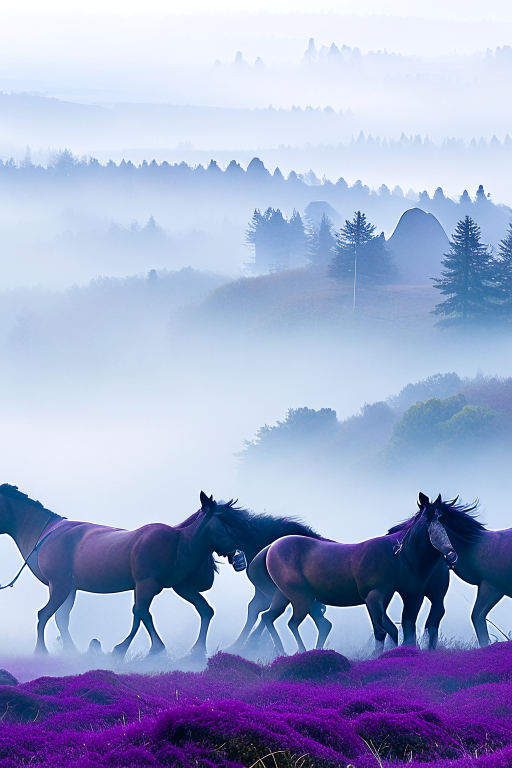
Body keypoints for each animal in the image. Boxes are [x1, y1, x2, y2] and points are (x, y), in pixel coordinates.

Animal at [0, 486, 250, 656]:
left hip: (64, 587)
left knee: (53, 616)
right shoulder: (148, 584)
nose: (239, 557)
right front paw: (141, 649)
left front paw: (195, 650)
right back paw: (44, 651)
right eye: (226, 523)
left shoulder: (174, 586)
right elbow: (141, 613)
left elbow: (199, 610)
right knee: (46, 614)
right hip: (62, 587)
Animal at [260, 492, 456, 656]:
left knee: (269, 617)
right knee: (293, 623)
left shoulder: (386, 596)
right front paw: (375, 656)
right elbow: (381, 630)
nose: (452, 556)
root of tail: (271, 548)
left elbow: (390, 628)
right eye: (430, 524)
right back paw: (301, 651)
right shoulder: (373, 596)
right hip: (301, 597)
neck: (395, 555)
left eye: (444, 525)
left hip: (283, 595)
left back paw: (282, 651)